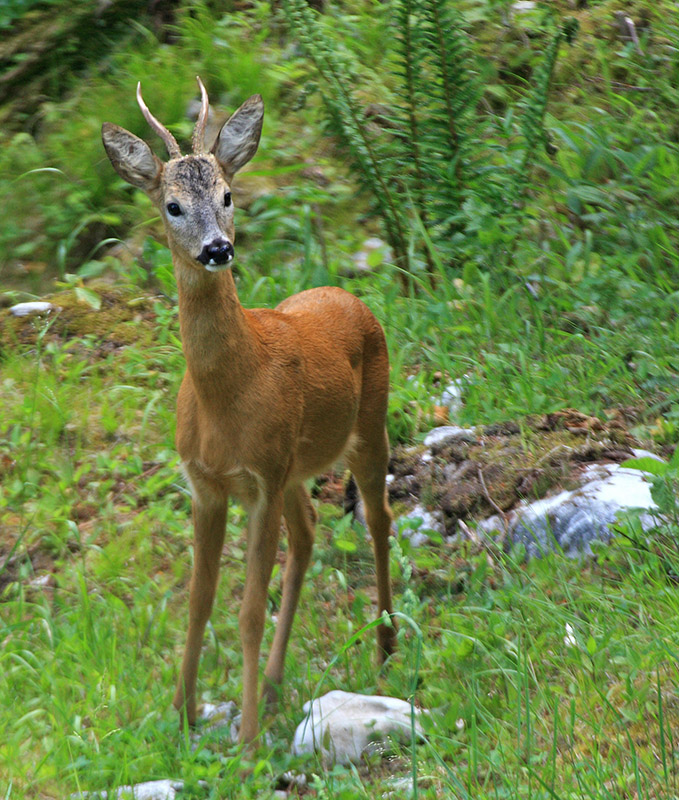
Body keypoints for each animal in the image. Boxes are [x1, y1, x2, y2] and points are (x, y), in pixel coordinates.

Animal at [103, 78, 396, 740]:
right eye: (172, 206)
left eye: (228, 194)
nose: (217, 249)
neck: (226, 400)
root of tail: (349, 295)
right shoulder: (209, 484)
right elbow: (198, 602)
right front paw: (182, 717)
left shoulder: (258, 482)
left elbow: (247, 612)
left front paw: (247, 743)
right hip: (293, 468)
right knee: (309, 533)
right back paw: (275, 681)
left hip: (369, 426)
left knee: (380, 519)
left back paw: (386, 650)